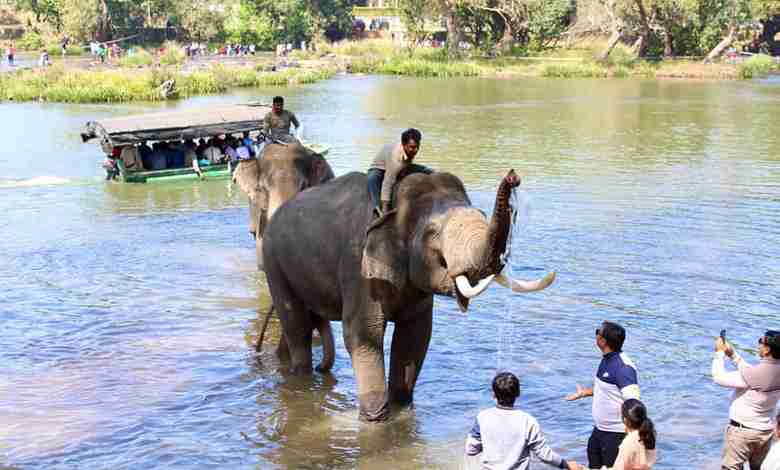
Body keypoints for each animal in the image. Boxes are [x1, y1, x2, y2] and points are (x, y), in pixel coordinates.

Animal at [262, 168, 556, 422]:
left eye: (482, 214)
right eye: (433, 233)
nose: (514, 177)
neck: (393, 205)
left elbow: (415, 335)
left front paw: (402, 408)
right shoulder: (359, 268)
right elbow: (364, 332)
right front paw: (375, 421)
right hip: (273, 261)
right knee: (297, 323)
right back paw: (301, 380)